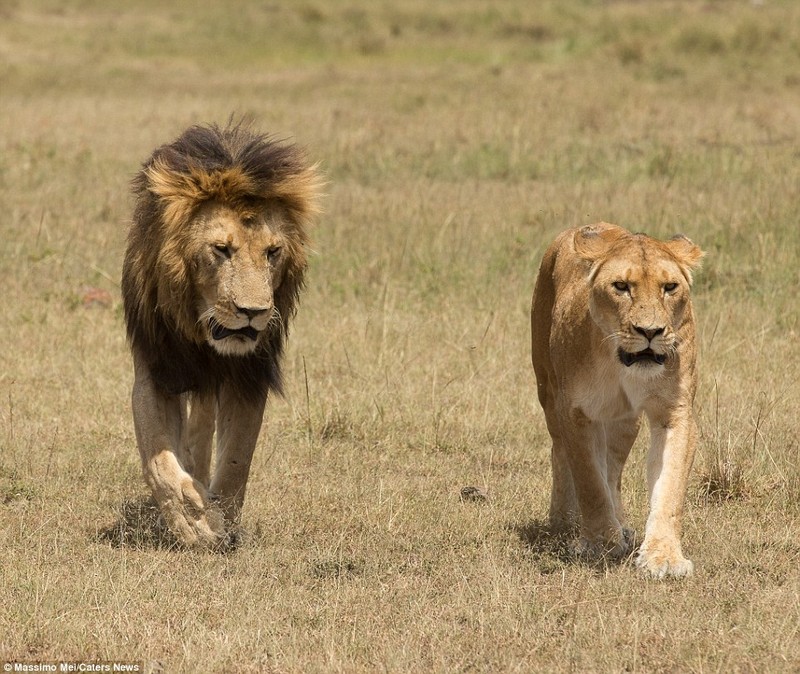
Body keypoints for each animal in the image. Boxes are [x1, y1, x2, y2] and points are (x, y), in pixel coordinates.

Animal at [120, 122, 320, 544]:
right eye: (221, 249)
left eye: (272, 252)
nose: (253, 313)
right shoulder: (157, 369)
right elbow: (158, 456)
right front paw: (191, 521)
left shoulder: (248, 375)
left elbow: (237, 458)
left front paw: (221, 518)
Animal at [536, 222, 704, 576]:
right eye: (621, 286)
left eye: (670, 287)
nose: (650, 331)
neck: (619, 362)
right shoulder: (575, 412)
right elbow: (589, 481)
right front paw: (600, 544)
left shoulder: (675, 412)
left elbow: (669, 488)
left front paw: (664, 557)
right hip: (548, 393)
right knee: (560, 452)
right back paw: (564, 523)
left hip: (624, 421)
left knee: (613, 470)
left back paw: (622, 525)